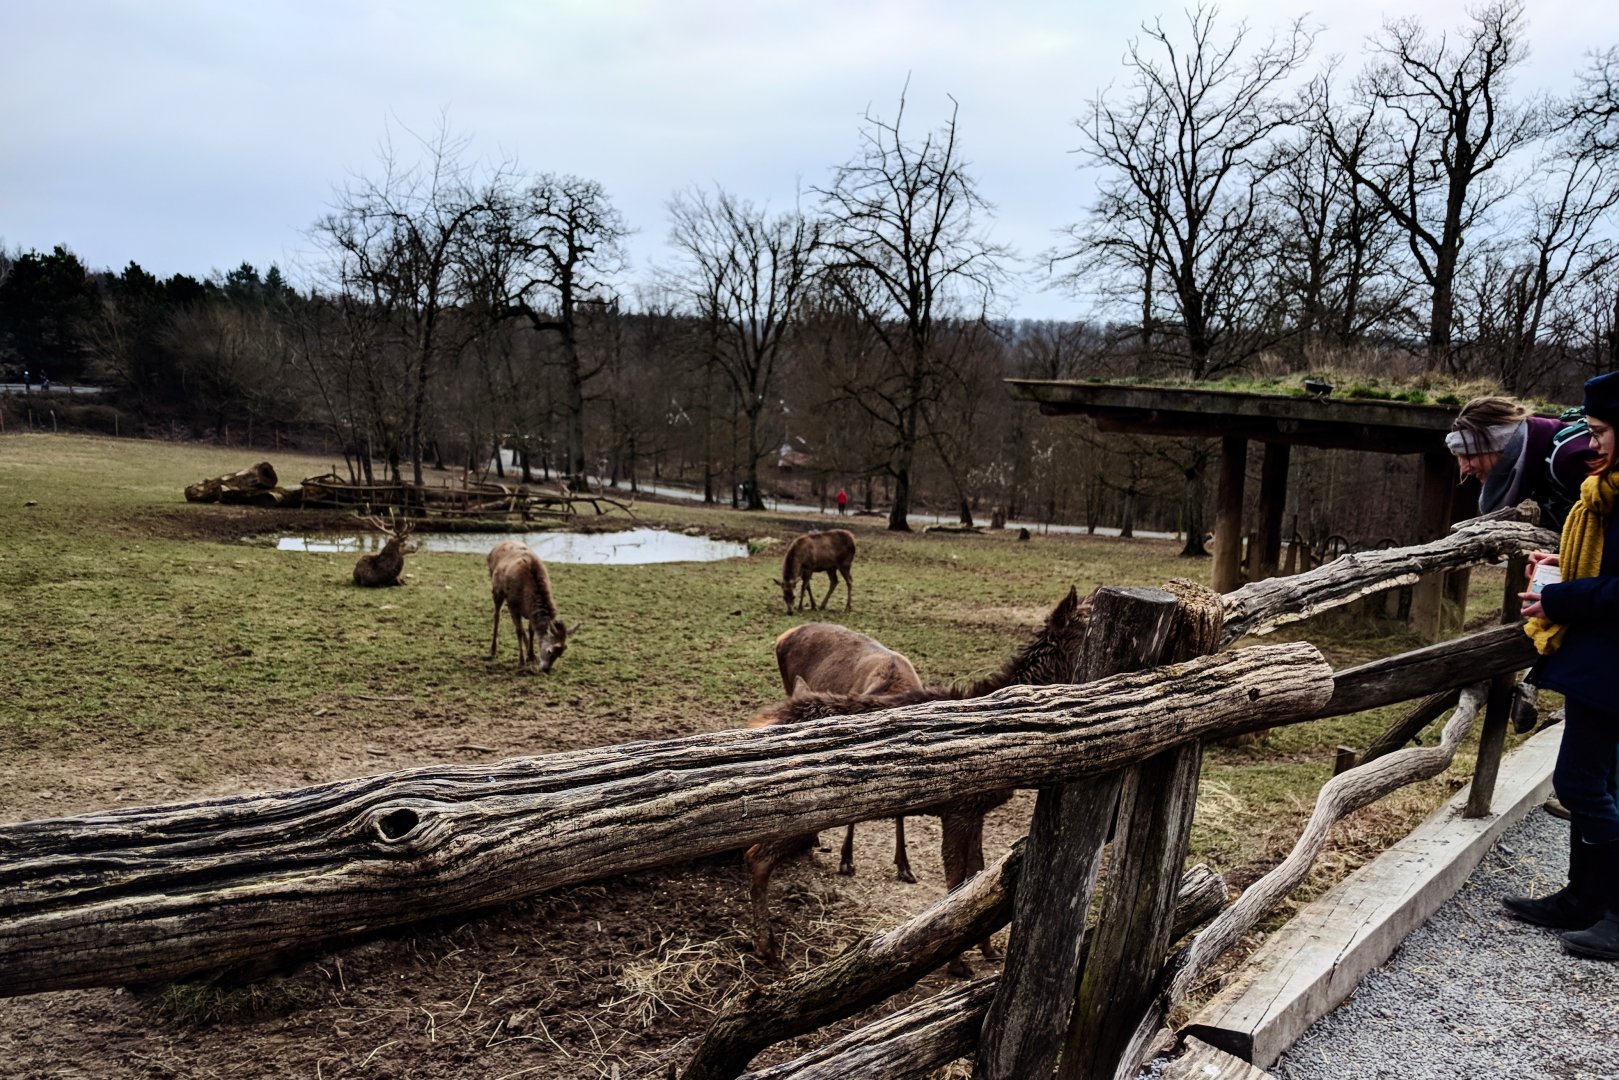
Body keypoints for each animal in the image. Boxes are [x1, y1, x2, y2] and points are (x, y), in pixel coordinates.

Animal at [487, 539, 579, 673]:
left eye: (561, 653)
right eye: (549, 651)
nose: (546, 669)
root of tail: (494, 548)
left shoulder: (530, 611)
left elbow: (531, 631)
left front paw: (531, 655)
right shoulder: (513, 605)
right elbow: (518, 631)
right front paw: (521, 661)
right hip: (497, 591)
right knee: (497, 616)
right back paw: (493, 650)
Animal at [744, 585, 1096, 974]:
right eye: (1086, 629)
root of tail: (758, 723)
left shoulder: (976, 811)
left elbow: (978, 872)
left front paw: (988, 948)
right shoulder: (957, 809)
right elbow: (956, 881)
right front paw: (957, 962)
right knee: (756, 857)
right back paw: (767, 947)